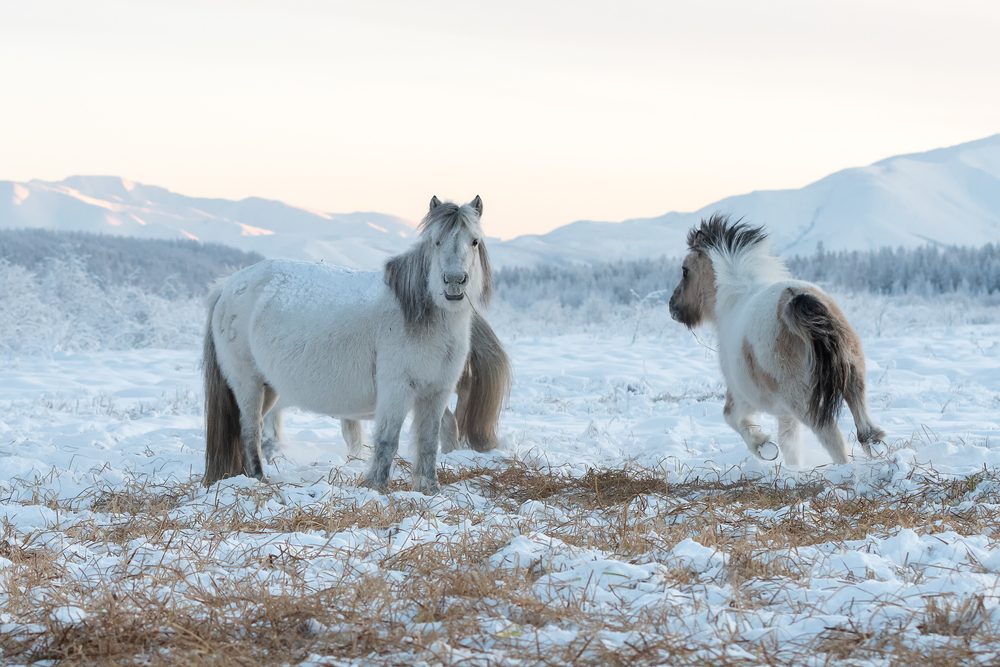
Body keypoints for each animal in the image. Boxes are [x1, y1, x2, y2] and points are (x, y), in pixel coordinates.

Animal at [203, 196, 500, 494]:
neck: (419, 316)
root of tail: (227, 286)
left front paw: (430, 490)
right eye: (436, 241)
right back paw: (258, 478)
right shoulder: (396, 390)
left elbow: (428, 443)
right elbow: (387, 441)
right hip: (247, 383)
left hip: (269, 389)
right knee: (250, 430)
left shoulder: (437, 392)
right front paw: (377, 487)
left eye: (475, 241)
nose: (454, 282)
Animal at [668, 214, 888, 464]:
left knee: (832, 436)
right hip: (853, 376)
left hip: (803, 402)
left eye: (685, 270)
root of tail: (796, 300)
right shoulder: (785, 412)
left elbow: (732, 418)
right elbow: (790, 444)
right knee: (866, 427)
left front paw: (763, 447)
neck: (733, 301)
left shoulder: (742, 396)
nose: (672, 306)